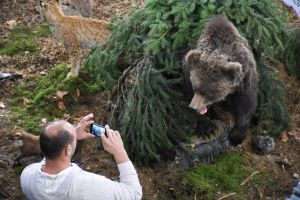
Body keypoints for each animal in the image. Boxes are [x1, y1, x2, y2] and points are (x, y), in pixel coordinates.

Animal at [182, 14, 258, 145]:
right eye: (195, 88)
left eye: (208, 92)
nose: (193, 107)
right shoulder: (188, 71)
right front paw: (206, 128)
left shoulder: (245, 79)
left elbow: (246, 103)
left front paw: (236, 136)